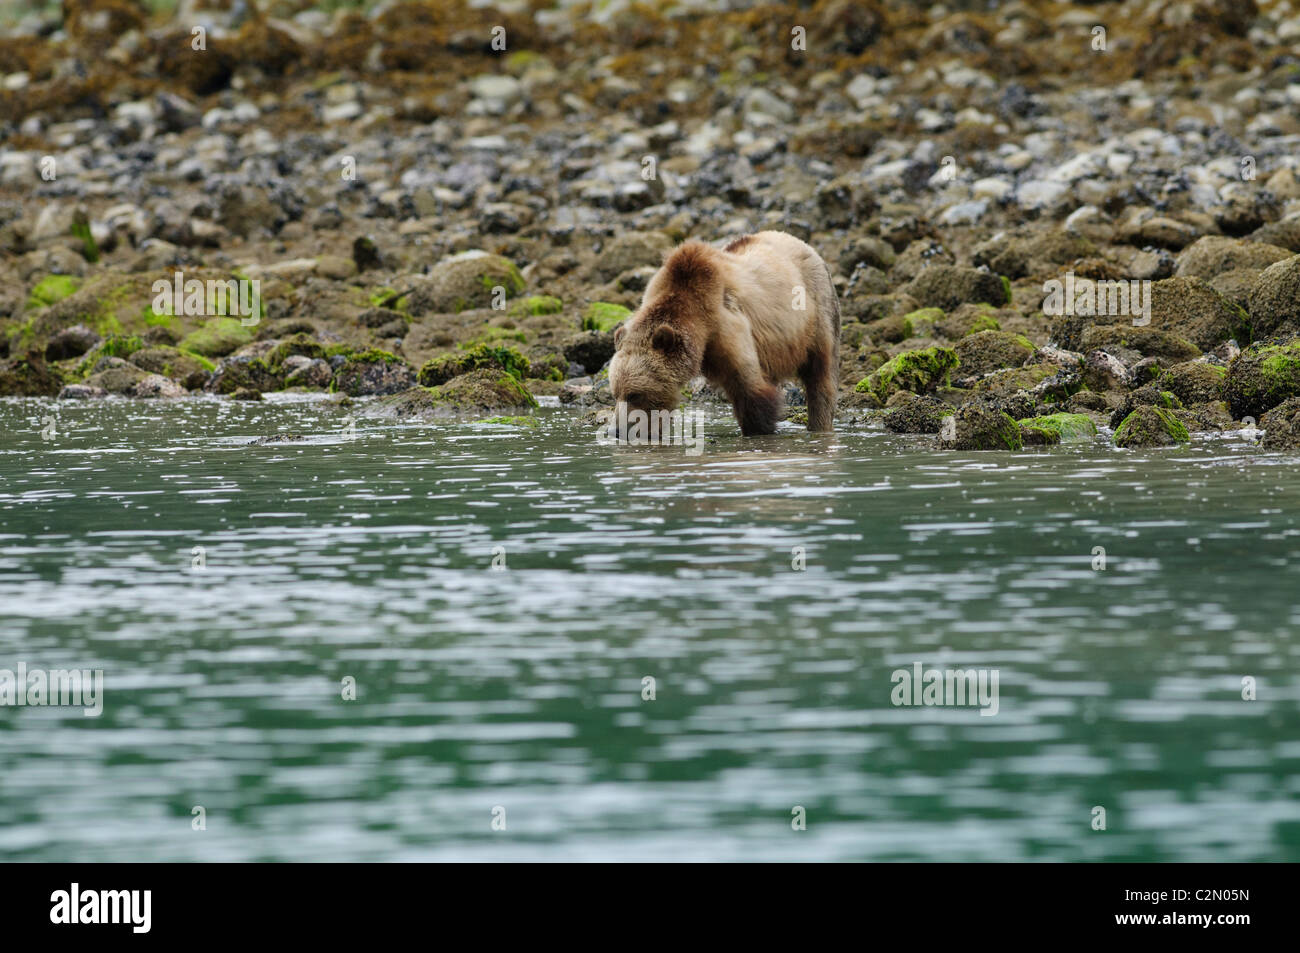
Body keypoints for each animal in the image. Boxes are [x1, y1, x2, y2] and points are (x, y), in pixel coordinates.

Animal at [608, 232, 842, 434]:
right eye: (615, 393)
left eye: (634, 394)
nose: (616, 430)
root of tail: (803, 243)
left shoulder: (727, 328)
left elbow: (750, 389)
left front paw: (758, 430)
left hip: (818, 312)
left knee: (821, 375)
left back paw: (819, 424)